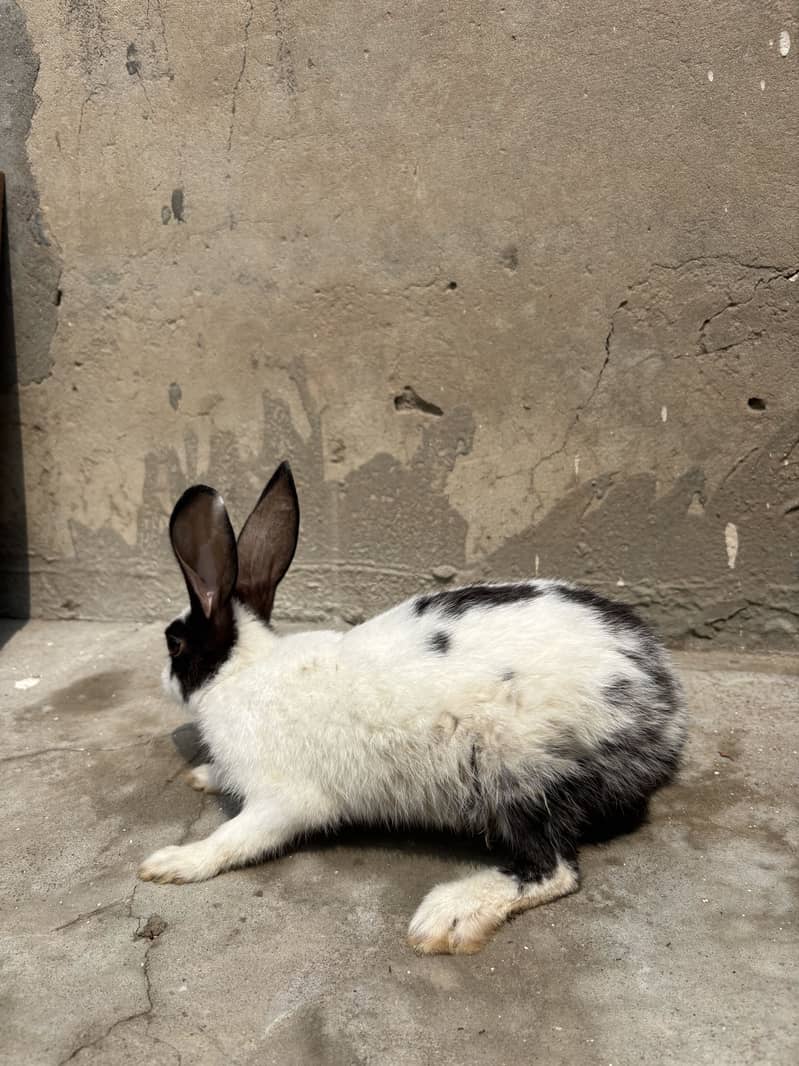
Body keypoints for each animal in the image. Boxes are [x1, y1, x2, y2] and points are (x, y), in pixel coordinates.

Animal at [139, 461, 687, 955]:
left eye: (174, 644)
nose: (160, 678)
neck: (242, 671)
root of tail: (666, 715)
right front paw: (204, 775)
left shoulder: (284, 800)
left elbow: (231, 838)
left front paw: (172, 863)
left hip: (518, 774)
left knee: (553, 868)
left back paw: (447, 916)